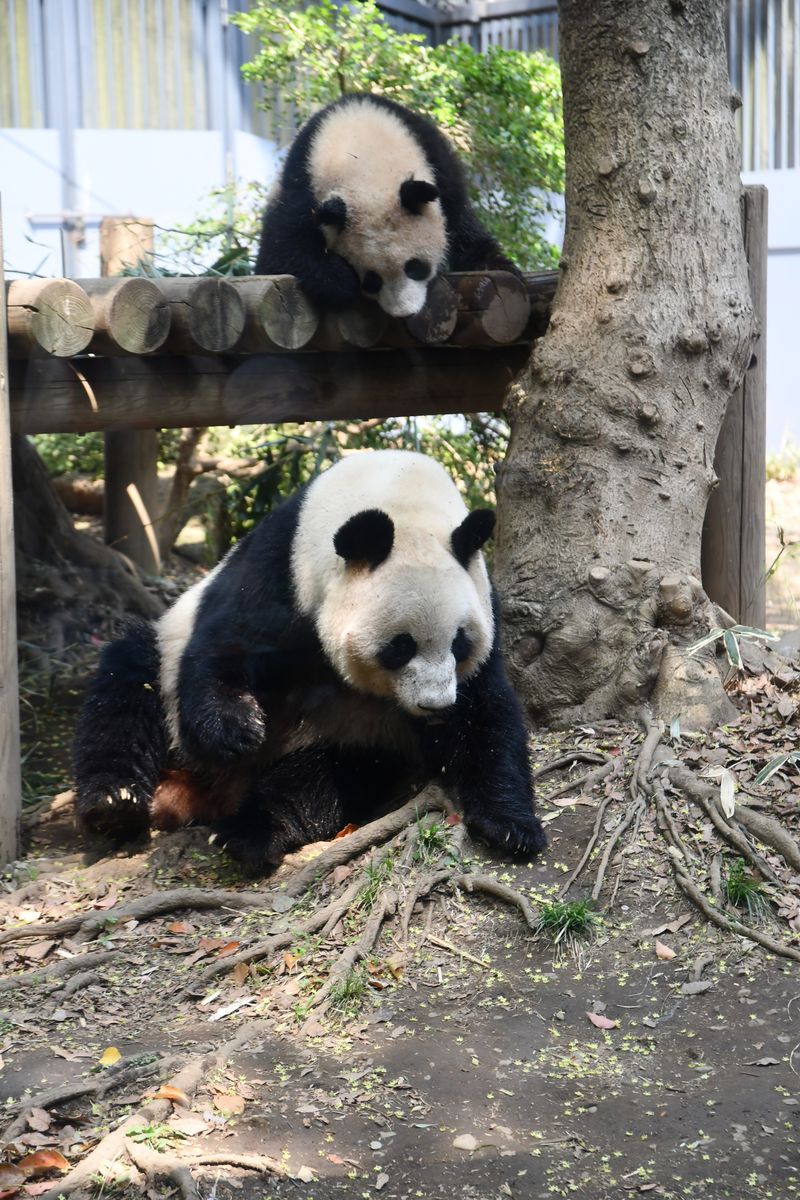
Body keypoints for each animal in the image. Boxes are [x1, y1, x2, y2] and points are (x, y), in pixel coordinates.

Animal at [74, 451, 546, 873]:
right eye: (400, 647)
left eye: (459, 643)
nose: (434, 706)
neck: (399, 489)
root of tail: (203, 792)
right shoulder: (279, 569)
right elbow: (223, 646)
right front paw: (236, 728)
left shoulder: (483, 601)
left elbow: (485, 710)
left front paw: (512, 825)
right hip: (165, 657)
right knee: (128, 683)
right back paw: (113, 804)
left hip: (355, 737)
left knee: (319, 780)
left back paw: (250, 833)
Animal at [256, 92, 520, 319]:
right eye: (372, 280)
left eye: (415, 267)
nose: (406, 313)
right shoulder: (301, 184)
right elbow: (282, 246)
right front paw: (339, 280)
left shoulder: (435, 159)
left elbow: (459, 221)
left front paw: (497, 263)